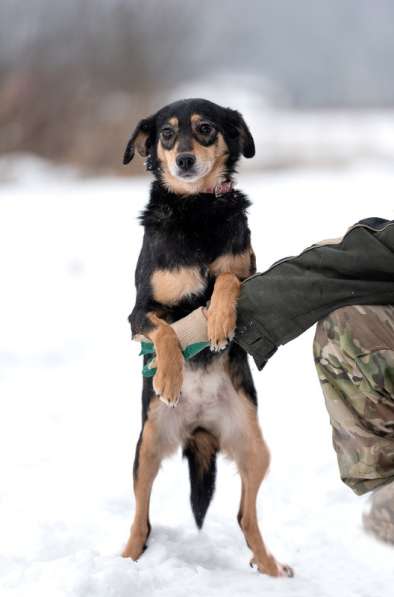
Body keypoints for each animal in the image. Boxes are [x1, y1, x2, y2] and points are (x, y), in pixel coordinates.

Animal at [121, 99, 292, 576]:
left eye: (205, 129)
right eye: (166, 134)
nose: (184, 160)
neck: (195, 208)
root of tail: (199, 426)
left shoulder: (251, 275)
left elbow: (226, 281)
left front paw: (216, 323)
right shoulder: (137, 314)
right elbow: (164, 330)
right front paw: (170, 378)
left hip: (256, 448)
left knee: (244, 516)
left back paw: (270, 567)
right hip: (147, 446)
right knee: (141, 518)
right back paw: (127, 559)